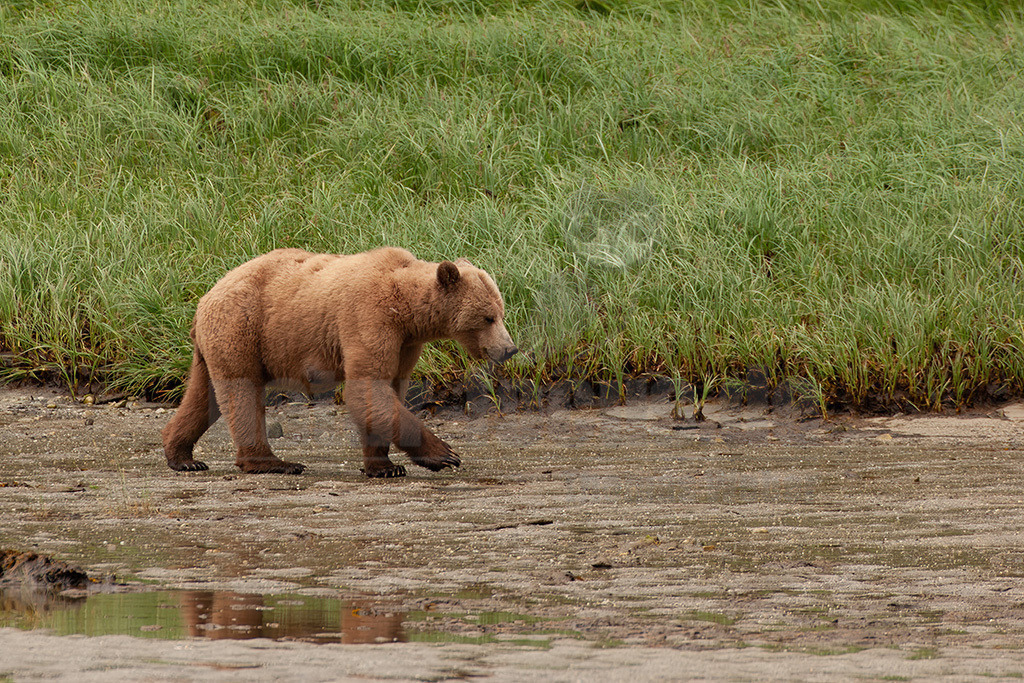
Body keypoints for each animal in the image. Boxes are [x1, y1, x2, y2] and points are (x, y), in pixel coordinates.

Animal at [161, 247, 517, 478]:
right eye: (488, 317)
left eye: (501, 312)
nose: (509, 349)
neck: (406, 310)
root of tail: (205, 298)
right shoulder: (368, 317)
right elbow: (367, 387)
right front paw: (444, 454)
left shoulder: (405, 343)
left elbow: (388, 389)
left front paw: (384, 466)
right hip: (242, 328)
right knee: (241, 393)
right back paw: (274, 462)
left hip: (216, 345)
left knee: (203, 396)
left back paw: (182, 456)